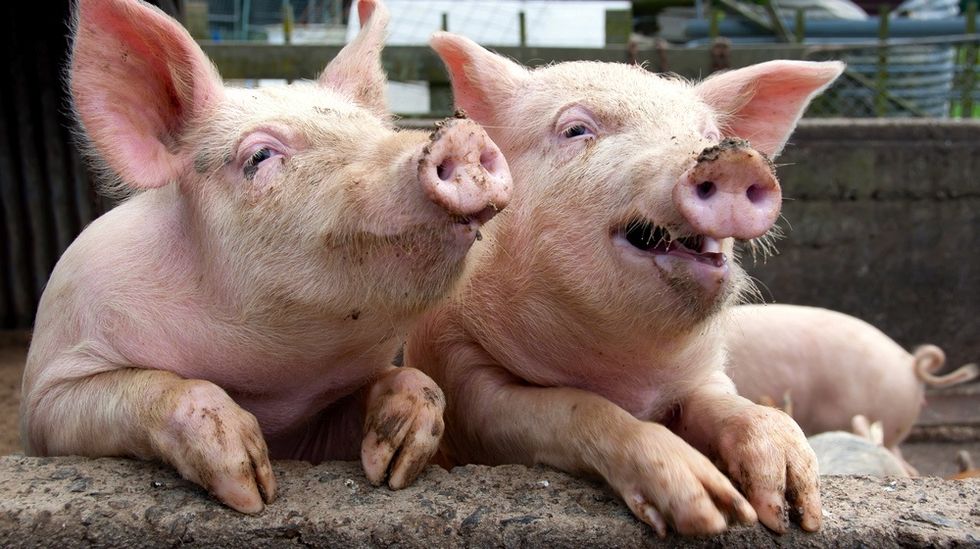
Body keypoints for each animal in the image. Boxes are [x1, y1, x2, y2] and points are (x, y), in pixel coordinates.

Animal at [19, 0, 511, 514]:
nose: (461, 135)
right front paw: (252, 492)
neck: (272, 386)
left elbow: (418, 382)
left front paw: (392, 469)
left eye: (377, 131)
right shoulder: (49, 394)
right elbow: (153, 389)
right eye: (259, 156)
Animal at [404, 32, 843, 536]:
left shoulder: (704, 373)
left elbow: (727, 403)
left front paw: (791, 511)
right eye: (576, 130)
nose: (736, 157)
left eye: (710, 135)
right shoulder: (463, 376)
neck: (628, 370)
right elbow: (570, 408)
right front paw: (712, 509)